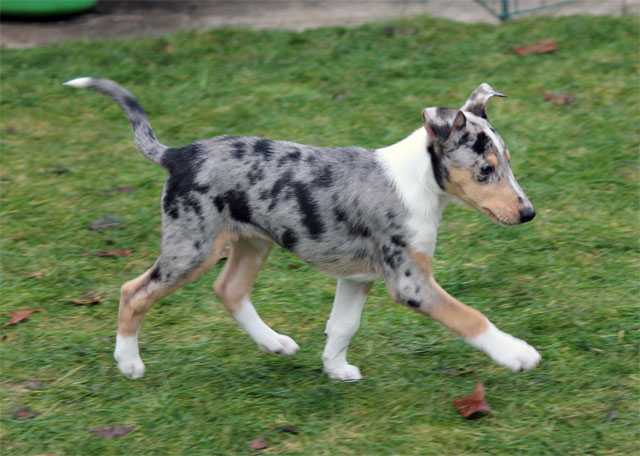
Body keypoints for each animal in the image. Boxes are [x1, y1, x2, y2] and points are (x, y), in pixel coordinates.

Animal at [64, 77, 541, 381]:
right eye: (485, 170)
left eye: (508, 161)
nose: (529, 213)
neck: (419, 182)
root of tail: (179, 154)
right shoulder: (411, 282)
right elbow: (469, 317)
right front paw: (516, 354)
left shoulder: (357, 278)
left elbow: (343, 325)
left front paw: (335, 367)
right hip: (192, 247)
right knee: (134, 291)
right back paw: (128, 363)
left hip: (252, 242)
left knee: (229, 289)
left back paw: (274, 343)